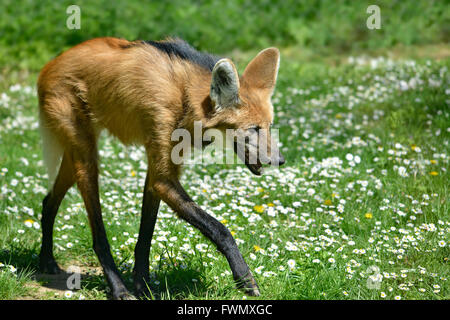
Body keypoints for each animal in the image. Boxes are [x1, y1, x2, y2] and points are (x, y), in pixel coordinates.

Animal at [38, 37, 284, 300]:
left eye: (269, 126)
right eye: (253, 129)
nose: (280, 160)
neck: (185, 97)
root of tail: (50, 65)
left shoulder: (159, 172)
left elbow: (146, 233)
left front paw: (143, 285)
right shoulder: (162, 171)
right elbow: (220, 229)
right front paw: (245, 278)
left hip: (76, 153)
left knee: (48, 201)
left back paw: (46, 259)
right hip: (86, 157)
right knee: (98, 234)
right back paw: (118, 288)